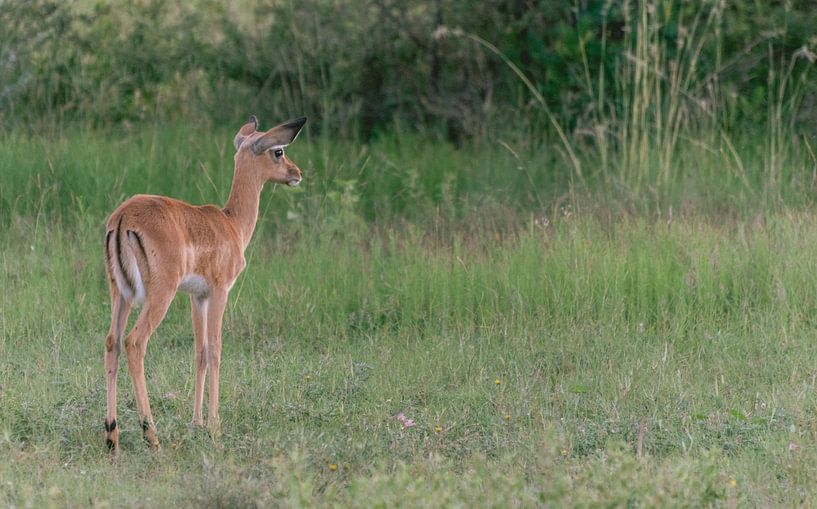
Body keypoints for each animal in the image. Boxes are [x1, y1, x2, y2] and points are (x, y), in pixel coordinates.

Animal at [102, 115, 306, 451]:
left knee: (112, 343)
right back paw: (151, 435)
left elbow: (199, 352)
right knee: (134, 342)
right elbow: (215, 349)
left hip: (121, 294)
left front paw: (196, 423)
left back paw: (111, 436)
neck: (231, 223)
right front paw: (215, 426)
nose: (297, 174)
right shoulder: (219, 291)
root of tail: (122, 218)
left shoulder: (197, 297)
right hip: (159, 295)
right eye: (278, 151)